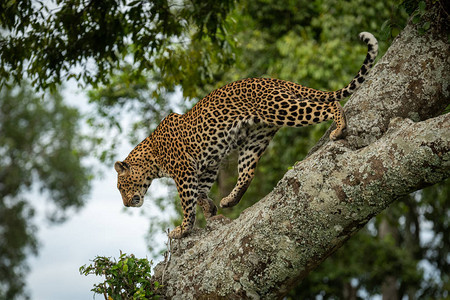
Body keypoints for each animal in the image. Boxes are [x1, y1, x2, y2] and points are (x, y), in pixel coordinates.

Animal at [114, 32, 378, 239]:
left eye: (121, 186)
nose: (126, 204)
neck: (152, 158)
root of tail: (273, 80)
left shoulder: (184, 171)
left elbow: (186, 201)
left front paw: (183, 229)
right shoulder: (207, 165)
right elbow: (200, 192)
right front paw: (209, 207)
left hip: (280, 109)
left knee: (330, 104)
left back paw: (340, 127)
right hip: (256, 137)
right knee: (247, 172)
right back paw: (230, 200)